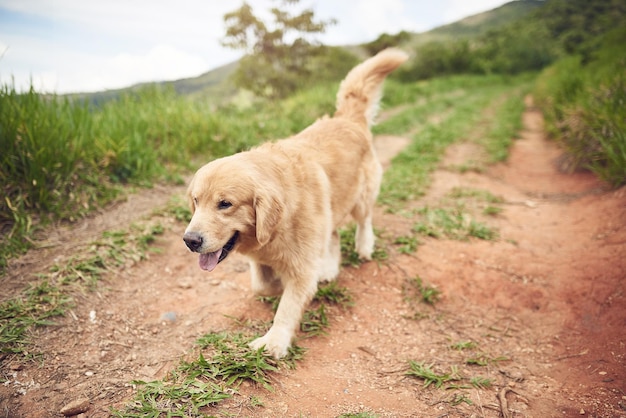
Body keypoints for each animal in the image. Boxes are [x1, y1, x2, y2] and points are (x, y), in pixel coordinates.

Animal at [183, 48, 408, 356]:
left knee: (364, 221)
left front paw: (274, 341)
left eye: (225, 204)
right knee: (334, 235)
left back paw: (363, 246)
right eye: (196, 201)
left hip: (361, 197)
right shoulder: (262, 258)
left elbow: (288, 306)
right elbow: (262, 285)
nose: (190, 240)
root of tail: (346, 119)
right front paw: (278, 284)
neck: (278, 224)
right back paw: (328, 269)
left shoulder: (302, 264)